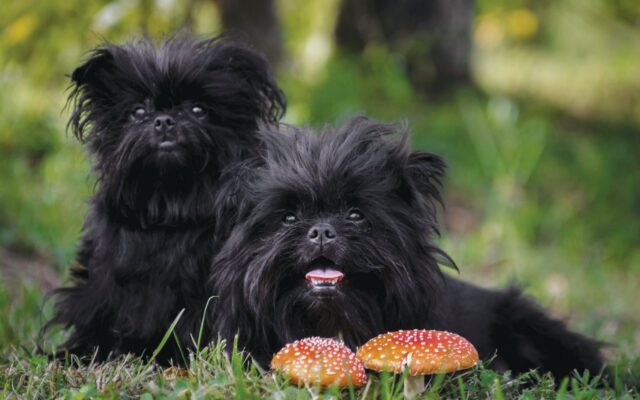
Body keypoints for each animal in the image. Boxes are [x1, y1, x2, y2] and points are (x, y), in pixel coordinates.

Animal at [47, 36, 288, 364]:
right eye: (138, 112)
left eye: (198, 110)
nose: (164, 120)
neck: (170, 206)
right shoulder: (104, 280)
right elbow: (97, 310)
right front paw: (78, 352)